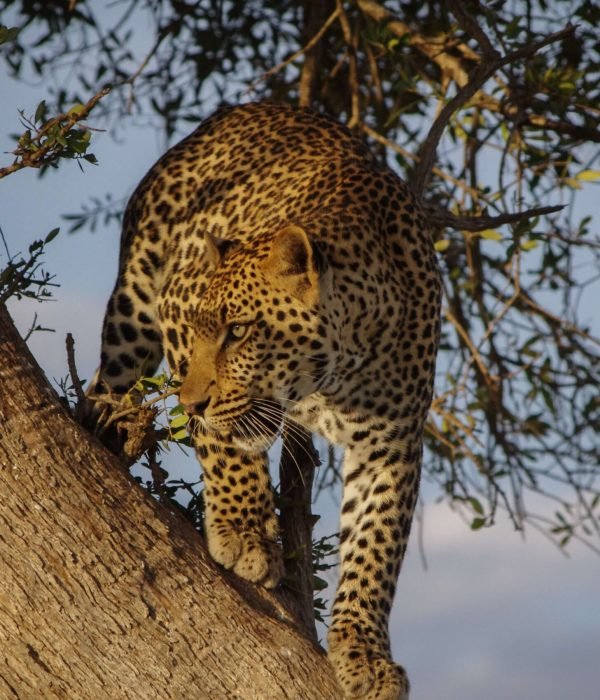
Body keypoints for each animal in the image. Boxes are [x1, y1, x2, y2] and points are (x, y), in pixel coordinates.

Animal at [91, 101, 441, 700]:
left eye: (238, 332)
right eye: (205, 329)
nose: (191, 402)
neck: (334, 372)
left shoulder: (391, 444)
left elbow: (376, 548)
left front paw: (365, 654)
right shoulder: (176, 306)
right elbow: (224, 445)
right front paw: (244, 532)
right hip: (134, 311)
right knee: (103, 385)